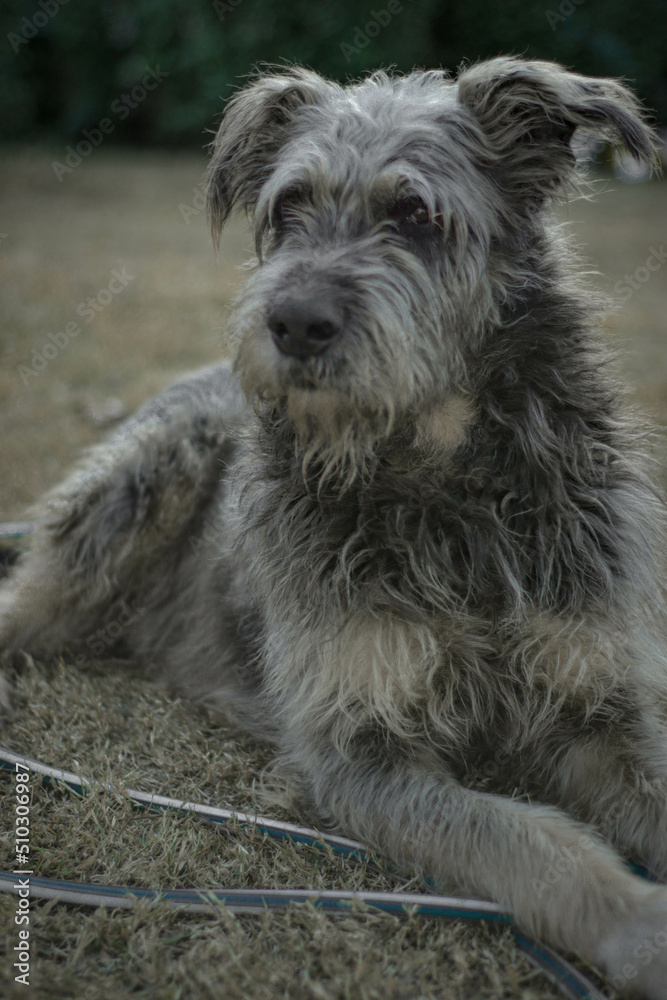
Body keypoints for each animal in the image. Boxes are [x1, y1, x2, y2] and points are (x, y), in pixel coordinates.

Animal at [1, 58, 667, 996]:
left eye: (415, 214)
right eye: (288, 207)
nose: (292, 324)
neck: (446, 487)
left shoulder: (597, 698)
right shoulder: (359, 748)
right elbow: (527, 841)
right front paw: (643, 928)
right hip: (131, 494)